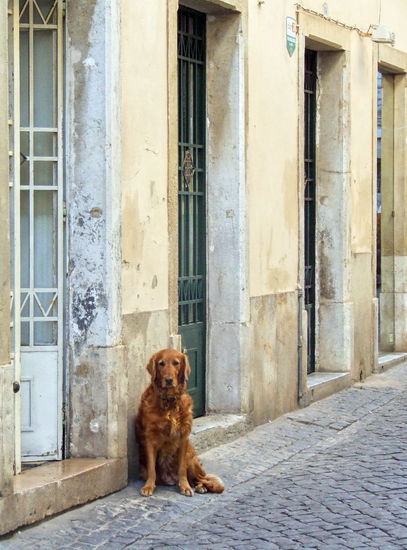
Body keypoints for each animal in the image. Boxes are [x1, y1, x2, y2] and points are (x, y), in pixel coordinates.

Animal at [137, 352, 226, 498]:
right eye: (161, 363)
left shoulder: (183, 437)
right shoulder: (150, 438)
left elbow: (182, 469)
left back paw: (200, 487)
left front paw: (185, 486)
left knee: (202, 479)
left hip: (191, 457)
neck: (169, 401)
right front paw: (148, 486)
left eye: (176, 363)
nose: (168, 380)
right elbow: (151, 469)